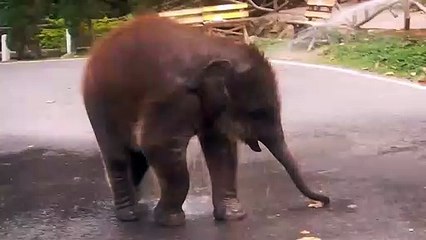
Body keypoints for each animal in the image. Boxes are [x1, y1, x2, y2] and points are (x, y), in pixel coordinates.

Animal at [82, 13, 330, 227]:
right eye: (257, 112)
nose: (325, 201)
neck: (214, 48)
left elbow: (222, 149)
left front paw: (233, 217)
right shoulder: (172, 97)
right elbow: (158, 145)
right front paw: (170, 221)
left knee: (137, 157)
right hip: (97, 102)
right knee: (118, 155)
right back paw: (129, 215)